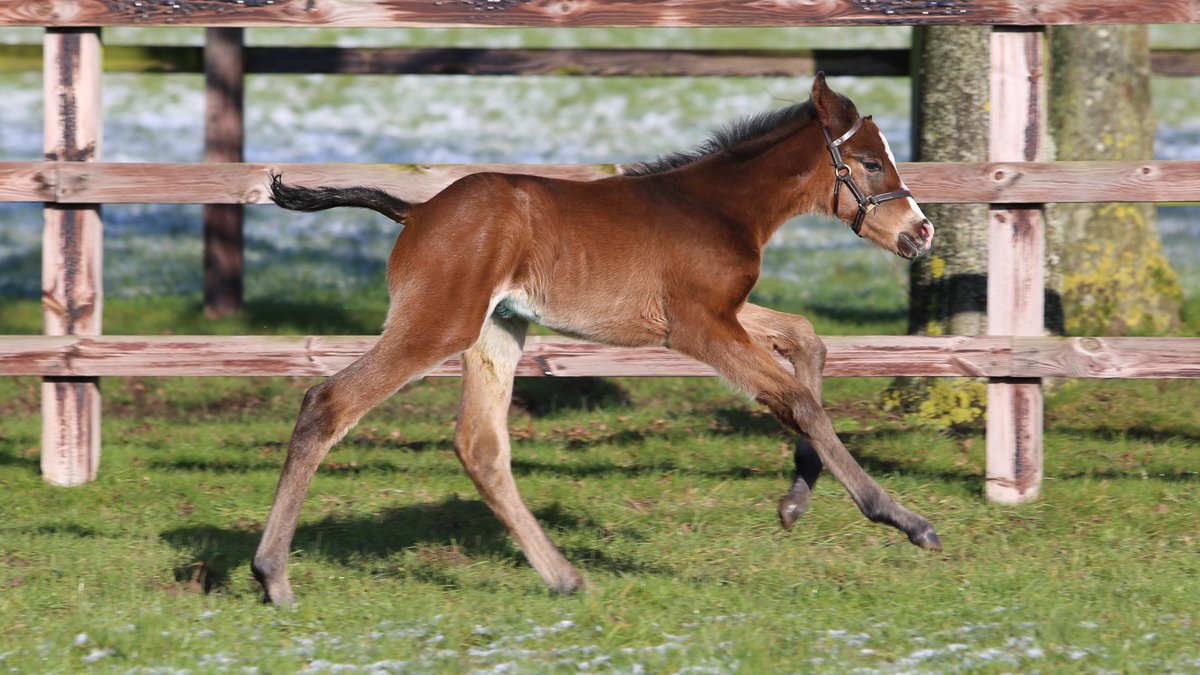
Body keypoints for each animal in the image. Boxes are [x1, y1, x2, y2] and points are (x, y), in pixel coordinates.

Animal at [254, 73, 939, 607]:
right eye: (872, 162)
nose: (922, 233)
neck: (718, 207)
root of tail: (417, 212)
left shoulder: (723, 312)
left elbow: (807, 342)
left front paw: (795, 503)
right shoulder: (698, 325)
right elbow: (797, 400)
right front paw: (903, 519)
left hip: (497, 328)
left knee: (480, 447)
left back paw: (565, 578)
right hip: (439, 323)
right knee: (329, 403)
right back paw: (273, 577)